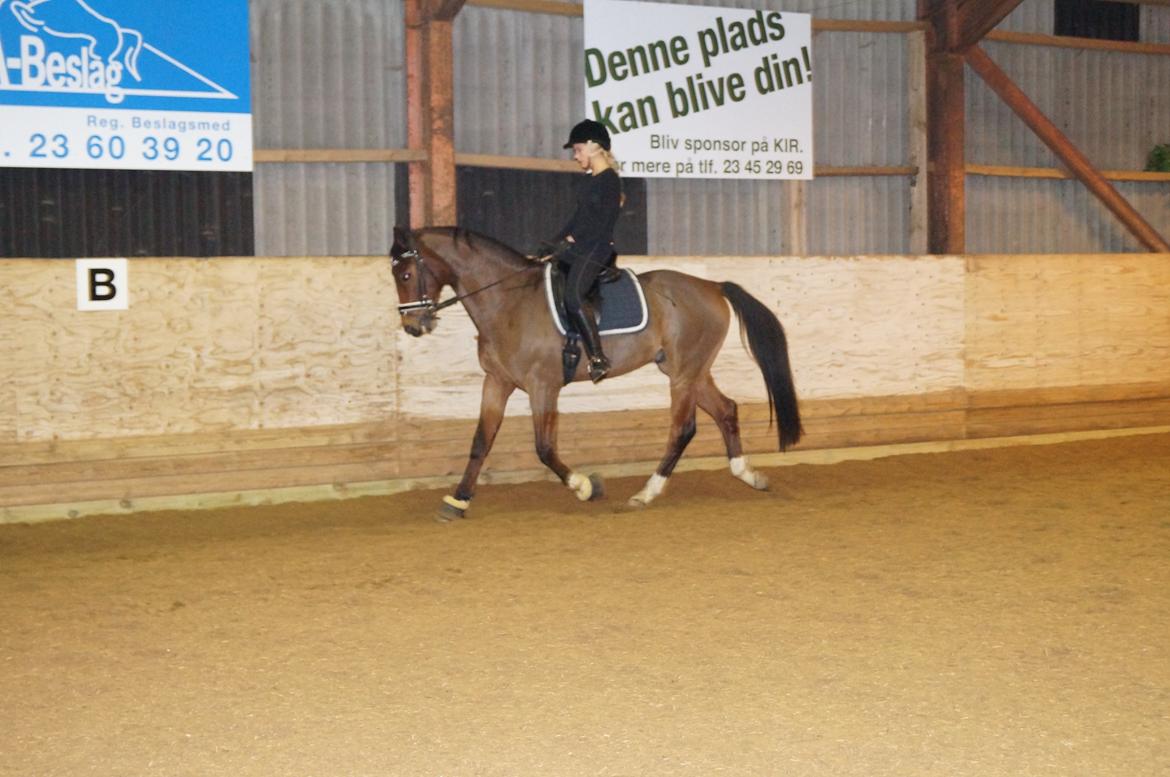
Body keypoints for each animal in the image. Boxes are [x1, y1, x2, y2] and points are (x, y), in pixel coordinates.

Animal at [388, 223, 800, 521]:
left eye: (406, 275)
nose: (413, 326)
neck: (509, 302)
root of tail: (712, 285)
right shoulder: (498, 382)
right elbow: (480, 443)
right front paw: (457, 501)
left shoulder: (542, 386)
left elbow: (544, 447)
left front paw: (586, 486)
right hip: (689, 371)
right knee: (726, 410)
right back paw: (749, 475)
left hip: (684, 374)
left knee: (683, 428)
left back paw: (645, 494)